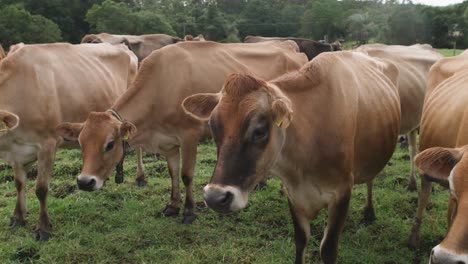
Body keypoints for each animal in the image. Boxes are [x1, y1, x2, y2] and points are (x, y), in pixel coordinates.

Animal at [0, 42, 138, 240]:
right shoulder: (17, 151)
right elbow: (19, 184)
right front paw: (18, 217)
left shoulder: (47, 144)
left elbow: (41, 189)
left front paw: (43, 228)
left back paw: (141, 178)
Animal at [54, 40, 308, 224]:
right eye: (81, 143)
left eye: (109, 144)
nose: (84, 182)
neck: (161, 87)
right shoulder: (168, 142)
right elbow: (173, 173)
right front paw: (173, 205)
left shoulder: (189, 136)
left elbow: (186, 175)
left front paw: (188, 211)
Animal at [181, 50, 400, 262]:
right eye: (212, 126)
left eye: (259, 131)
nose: (215, 197)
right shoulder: (294, 195)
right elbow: (300, 241)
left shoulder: (342, 191)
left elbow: (328, 249)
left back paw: (369, 212)